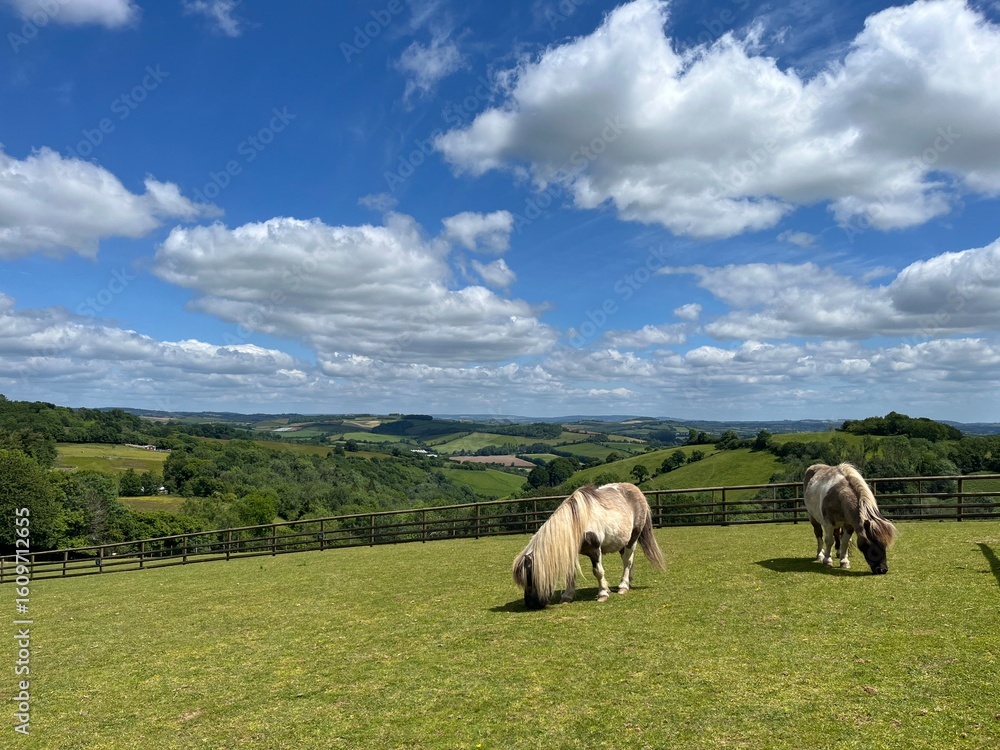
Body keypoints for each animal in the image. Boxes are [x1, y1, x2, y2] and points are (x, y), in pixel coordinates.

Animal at [511, 482, 666, 609]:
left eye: (530, 578)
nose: (531, 605)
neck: (577, 523)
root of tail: (636, 491)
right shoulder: (571, 551)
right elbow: (570, 574)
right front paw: (567, 596)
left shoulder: (594, 550)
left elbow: (598, 571)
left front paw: (603, 593)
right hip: (622, 541)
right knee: (627, 560)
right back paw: (628, 582)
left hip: (632, 539)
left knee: (627, 561)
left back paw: (623, 586)